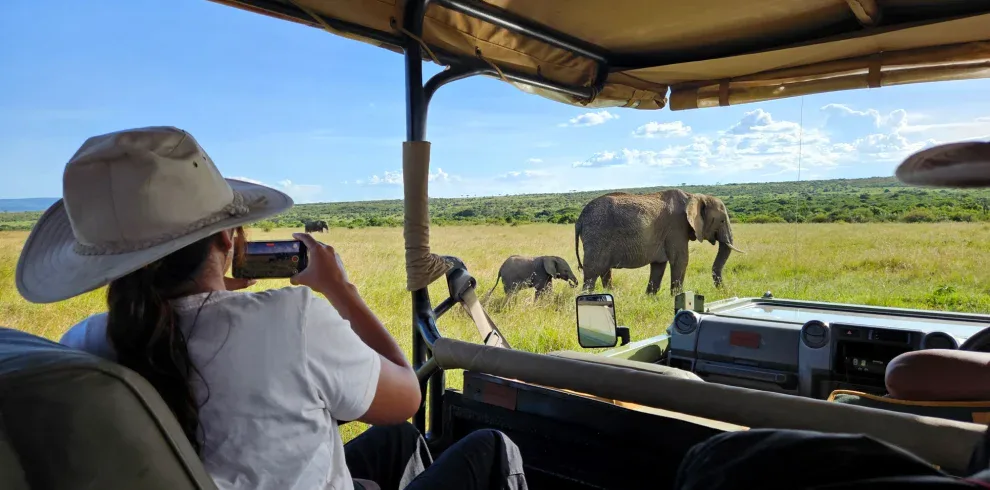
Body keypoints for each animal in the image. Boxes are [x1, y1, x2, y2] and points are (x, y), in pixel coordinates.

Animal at [575, 189, 744, 295]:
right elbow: (680, 260)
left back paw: (612, 295)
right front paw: (678, 298)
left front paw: (650, 298)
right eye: (722, 221)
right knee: (592, 273)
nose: (724, 292)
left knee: (604, 271)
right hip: (597, 235)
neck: (694, 197)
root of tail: (579, 219)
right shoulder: (677, 228)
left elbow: (659, 265)